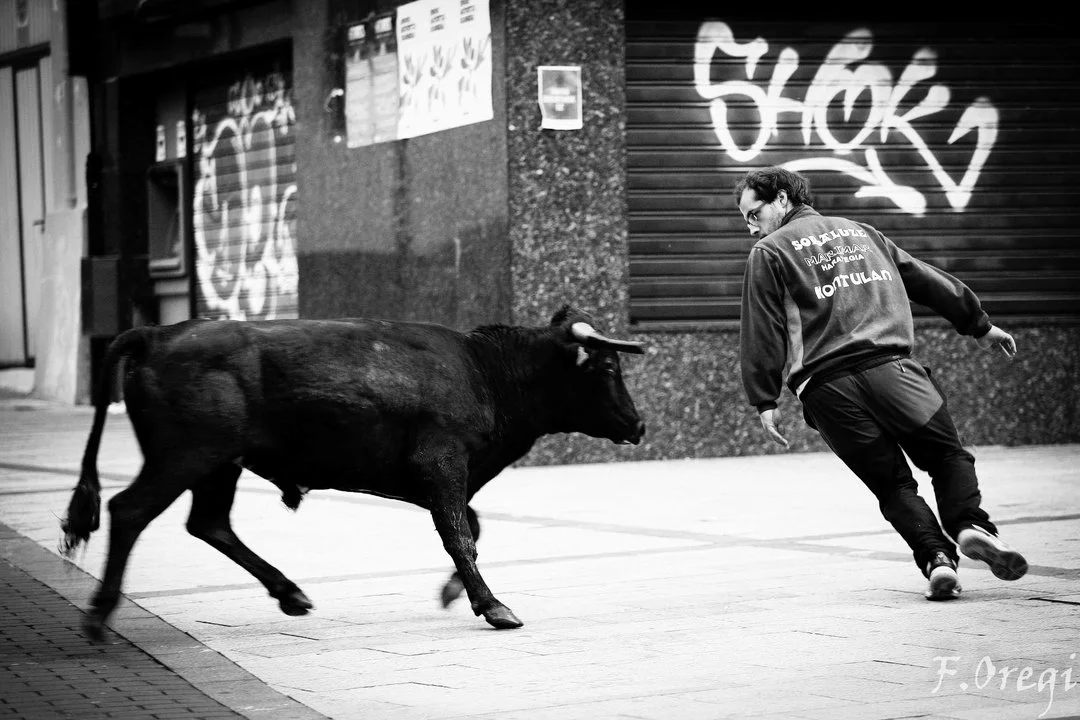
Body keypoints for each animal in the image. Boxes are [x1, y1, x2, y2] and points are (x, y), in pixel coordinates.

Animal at [60, 305, 645, 640]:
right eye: (607, 367)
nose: (639, 424)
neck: (484, 371)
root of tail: (158, 333)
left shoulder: (435, 478)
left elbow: (470, 527)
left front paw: (453, 592)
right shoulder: (441, 465)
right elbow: (460, 534)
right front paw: (493, 605)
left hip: (217, 466)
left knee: (209, 524)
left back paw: (291, 594)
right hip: (185, 457)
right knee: (130, 510)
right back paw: (98, 616)